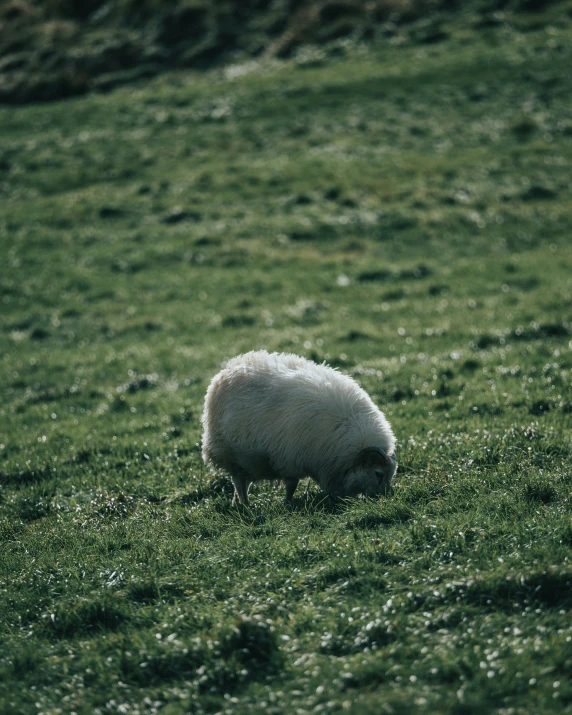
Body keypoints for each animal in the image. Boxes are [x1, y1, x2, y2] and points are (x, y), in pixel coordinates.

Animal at [202, 352, 398, 506]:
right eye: (378, 473)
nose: (384, 498)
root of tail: (227, 370)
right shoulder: (290, 459)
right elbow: (291, 485)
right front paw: (288, 503)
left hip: (248, 461)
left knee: (243, 482)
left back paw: (237, 502)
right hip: (231, 455)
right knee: (239, 482)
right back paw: (245, 505)